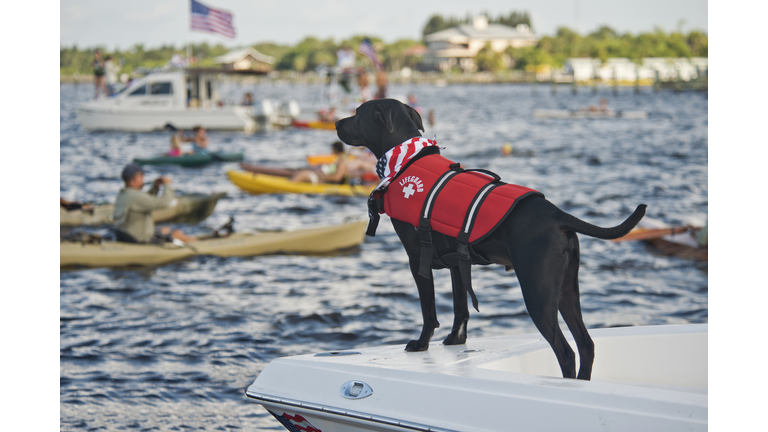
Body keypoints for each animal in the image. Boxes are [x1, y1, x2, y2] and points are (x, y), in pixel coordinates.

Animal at [340, 99, 644, 380]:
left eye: (357, 113)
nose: (336, 123)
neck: (407, 159)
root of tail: (558, 215)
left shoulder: (418, 260)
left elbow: (429, 312)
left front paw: (421, 344)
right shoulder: (457, 264)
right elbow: (461, 308)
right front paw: (456, 340)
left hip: (538, 293)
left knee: (567, 352)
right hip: (567, 291)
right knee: (586, 345)